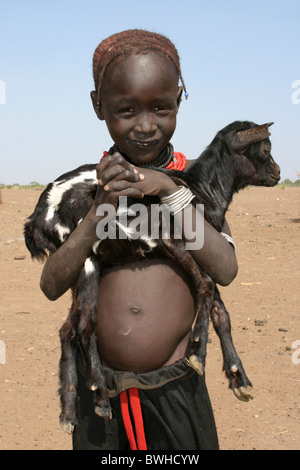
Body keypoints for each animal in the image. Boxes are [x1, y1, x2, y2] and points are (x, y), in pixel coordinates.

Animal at [24, 120, 282, 434]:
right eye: (265, 149)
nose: (278, 172)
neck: (202, 191)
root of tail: (37, 216)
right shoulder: (175, 242)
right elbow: (206, 287)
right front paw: (197, 352)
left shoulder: (206, 255)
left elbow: (222, 312)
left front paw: (238, 377)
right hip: (81, 256)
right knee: (85, 327)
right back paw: (100, 396)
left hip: (80, 268)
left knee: (68, 330)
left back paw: (69, 412)